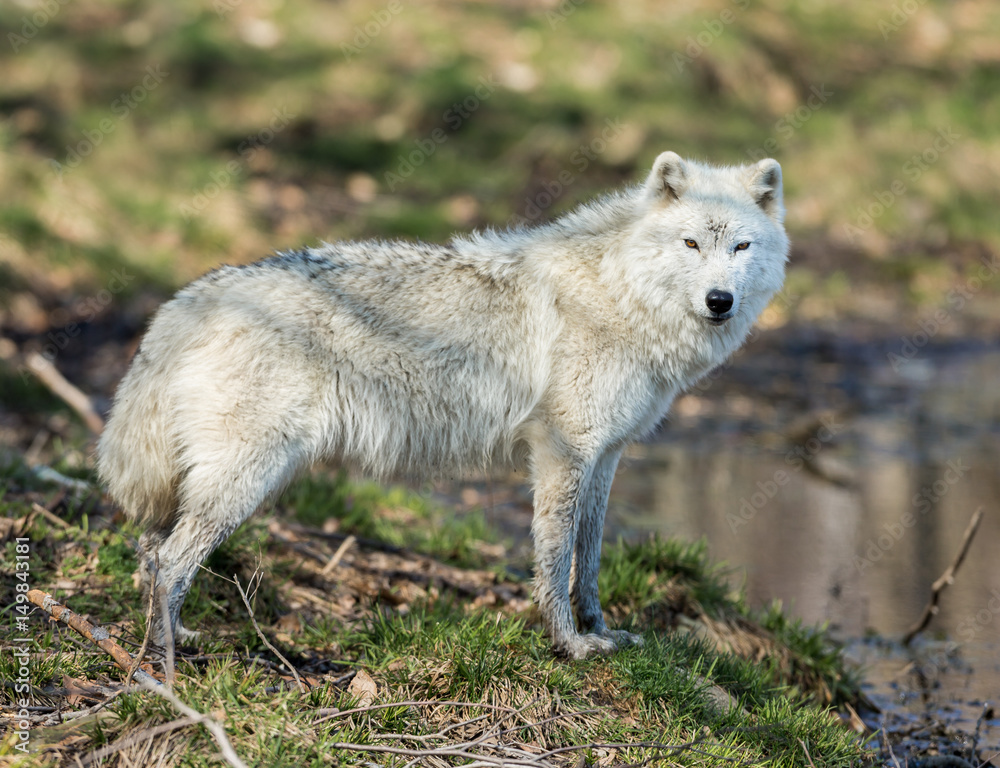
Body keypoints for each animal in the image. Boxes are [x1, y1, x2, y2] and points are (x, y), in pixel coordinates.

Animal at [97, 151, 789, 659]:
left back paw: (173, 641)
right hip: (245, 480)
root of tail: (187, 301)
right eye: (692, 244)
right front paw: (569, 646)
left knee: (150, 554)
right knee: (168, 561)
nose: (720, 301)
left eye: (741, 248)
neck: (622, 294)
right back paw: (163, 667)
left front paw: (600, 631)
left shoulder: (606, 455)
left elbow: (588, 557)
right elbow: (554, 559)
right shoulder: (562, 452)